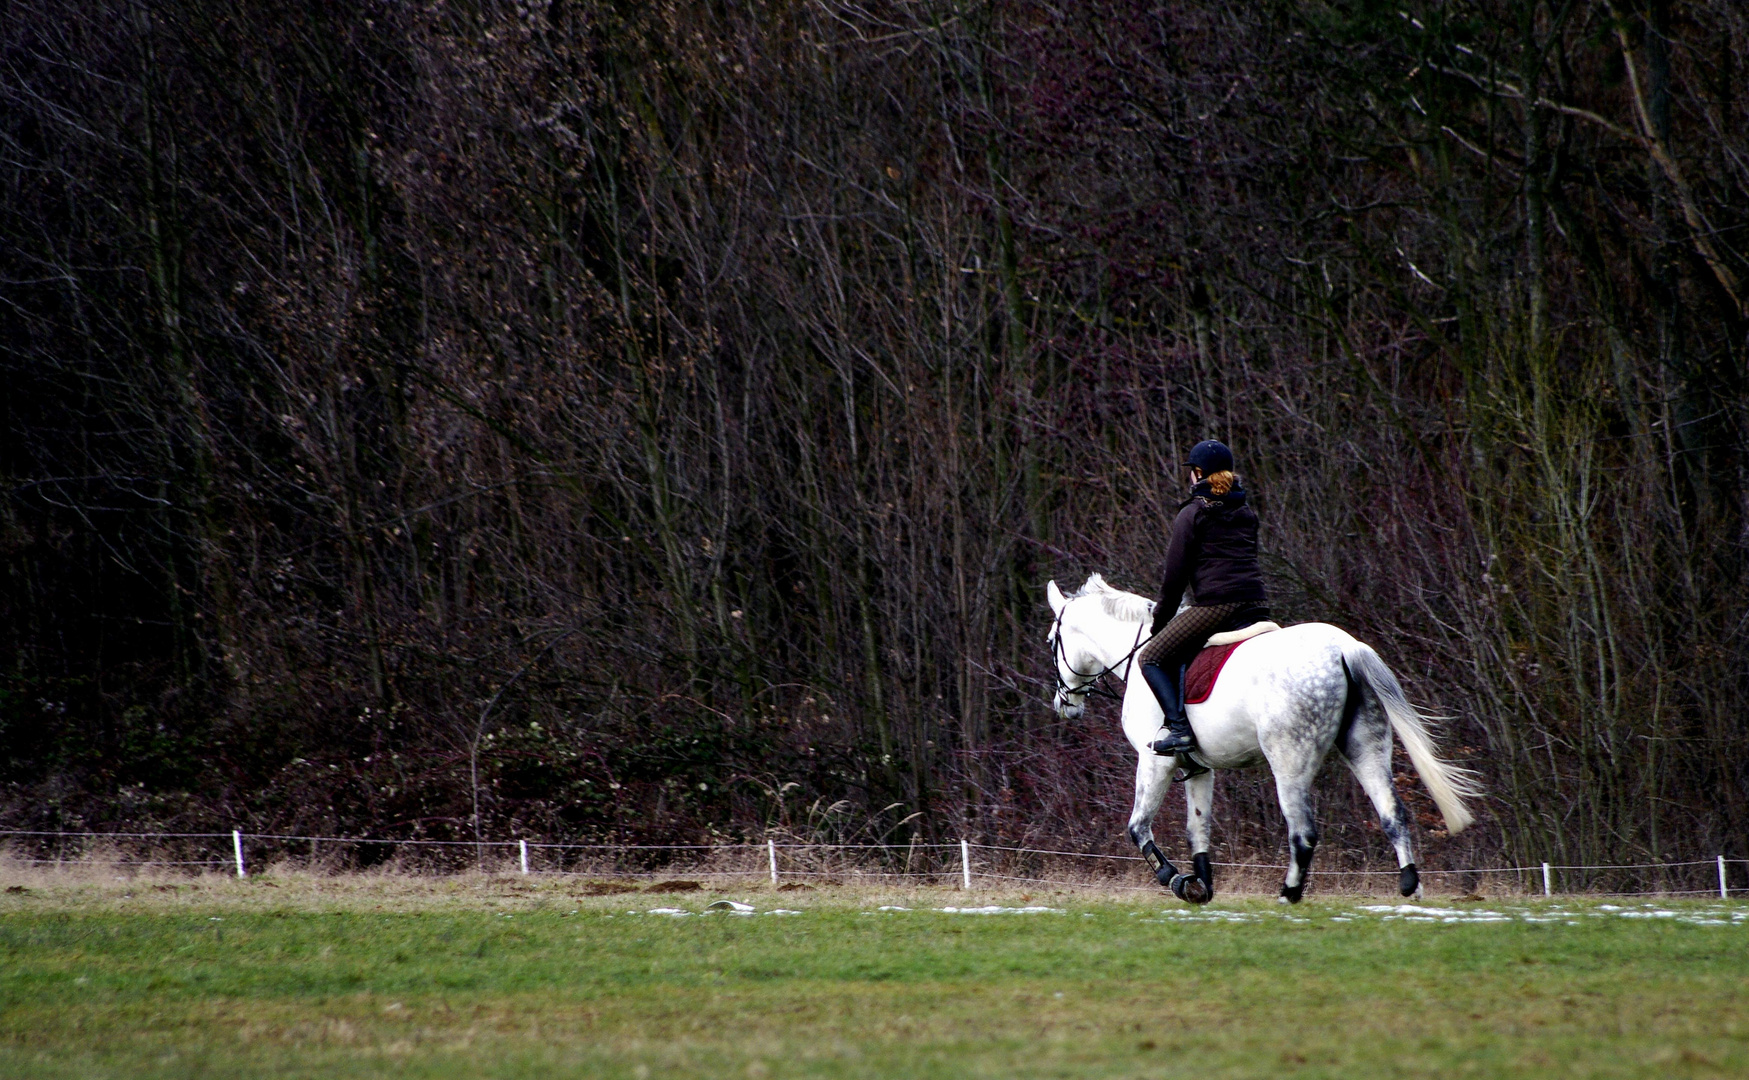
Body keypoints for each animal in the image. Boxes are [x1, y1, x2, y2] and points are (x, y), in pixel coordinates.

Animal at [1042, 574, 1483, 903]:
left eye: (1051, 641)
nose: (1064, 704)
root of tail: (1344, 647)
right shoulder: (1198, 768)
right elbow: (1198, 828)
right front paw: (1202, 887)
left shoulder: (1156, 760)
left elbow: (1138, 828)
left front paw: (1178, 882)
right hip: (1366, 748)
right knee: (1392, 813)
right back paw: (1410, 887)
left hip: (1289, 762)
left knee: (1303, 832)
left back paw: (1289, 894)